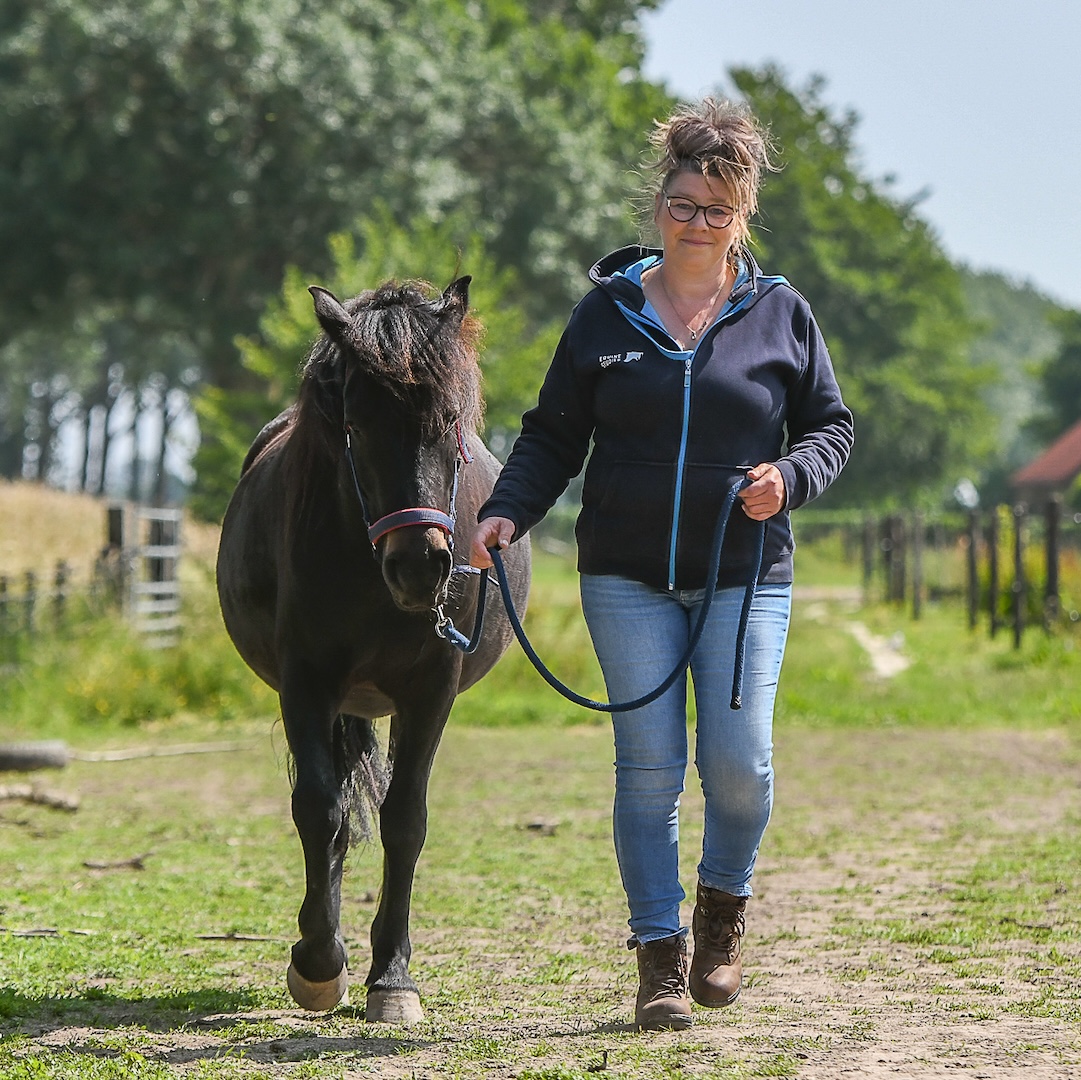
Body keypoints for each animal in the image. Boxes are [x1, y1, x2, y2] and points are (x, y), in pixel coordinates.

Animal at [216, 276, 531, 1023]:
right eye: (355, 429)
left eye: (450, 423)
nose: (420, 565)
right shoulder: (306, 683)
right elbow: (319, 810)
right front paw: (317, 962)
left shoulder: (431, 691)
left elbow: (404, 820)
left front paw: (392, 977)